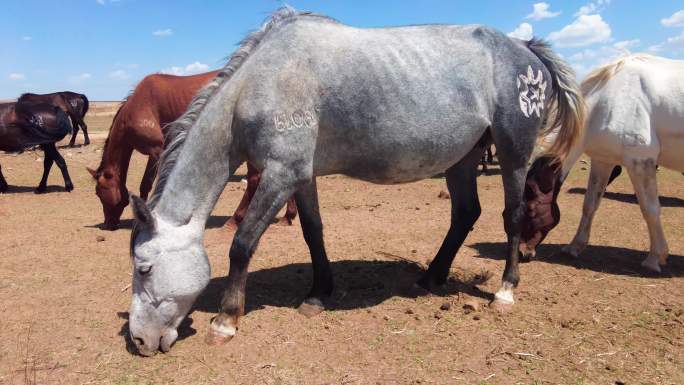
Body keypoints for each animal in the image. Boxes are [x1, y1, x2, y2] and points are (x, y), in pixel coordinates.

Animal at [87, 70, 296, 228]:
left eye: (99, 191)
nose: (108, 224)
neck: (137, 106)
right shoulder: (156, 152)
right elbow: (145, 184)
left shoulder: (157, 150)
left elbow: (151, 183)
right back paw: (287, 216)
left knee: (254, 179)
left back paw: (234, 221)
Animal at [124, 7, 584, 354]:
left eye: (144, 269)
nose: (140, 341)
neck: (260, 83)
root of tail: (524, 48)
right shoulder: (300, 176)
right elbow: (313, 232)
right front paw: (318, 293)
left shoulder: (279, 174)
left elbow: (243, 244)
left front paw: (226, 319)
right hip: (462, 159)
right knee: (465, 214)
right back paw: (430, 279)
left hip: (513, 152)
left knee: (513, 216)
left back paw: (505, 291)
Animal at [520, 54, 680, 272]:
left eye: (530, 209)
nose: (522, 252)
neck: (613, 97)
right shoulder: (602, 161)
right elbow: (590, 204)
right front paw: (574, 247)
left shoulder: (640, 161)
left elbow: (650, 210)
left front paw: (655, 257)